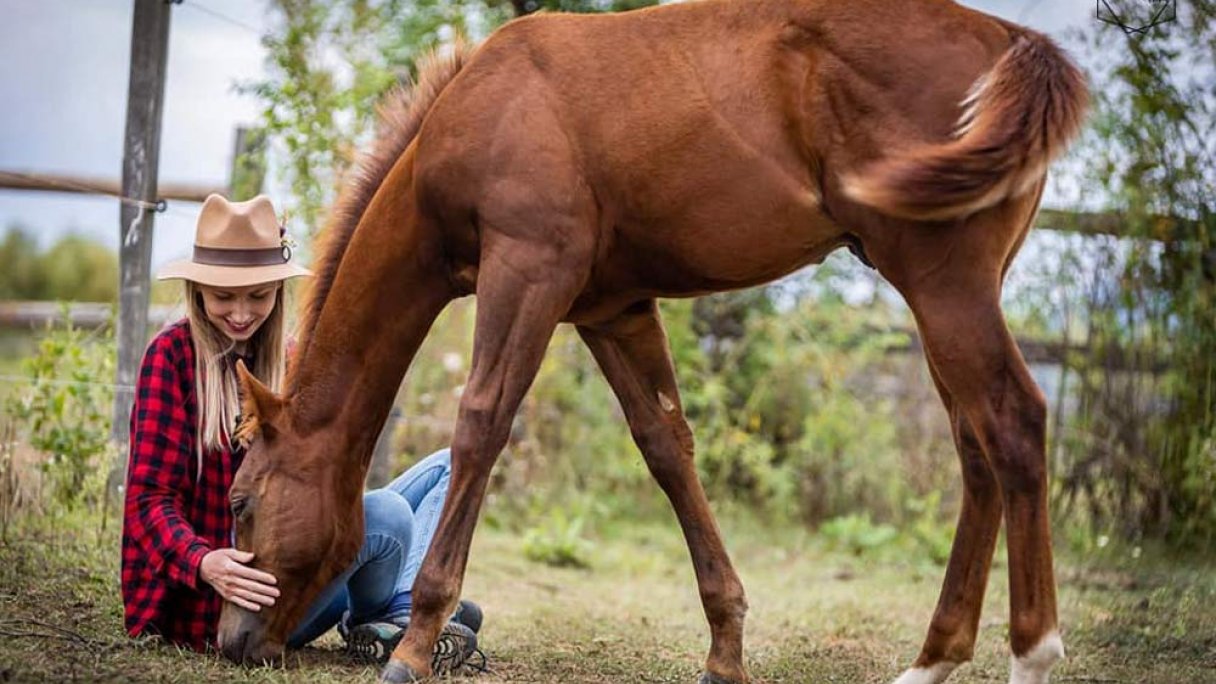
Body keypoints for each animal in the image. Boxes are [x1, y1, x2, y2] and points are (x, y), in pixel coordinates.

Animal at [214, 1, 1089, 681]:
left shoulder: (527, 273)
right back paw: (932, 659)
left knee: (1014, 424)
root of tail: (1013, 42)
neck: (474, 113)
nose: (231, 639)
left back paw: (1033, 653)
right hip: (944, 302)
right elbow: (667, 448)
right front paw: (726, 649)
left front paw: (415, 646)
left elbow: (481, 426)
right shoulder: (615, 310)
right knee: (976, 452)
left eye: (242, 500)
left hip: (946, 288)